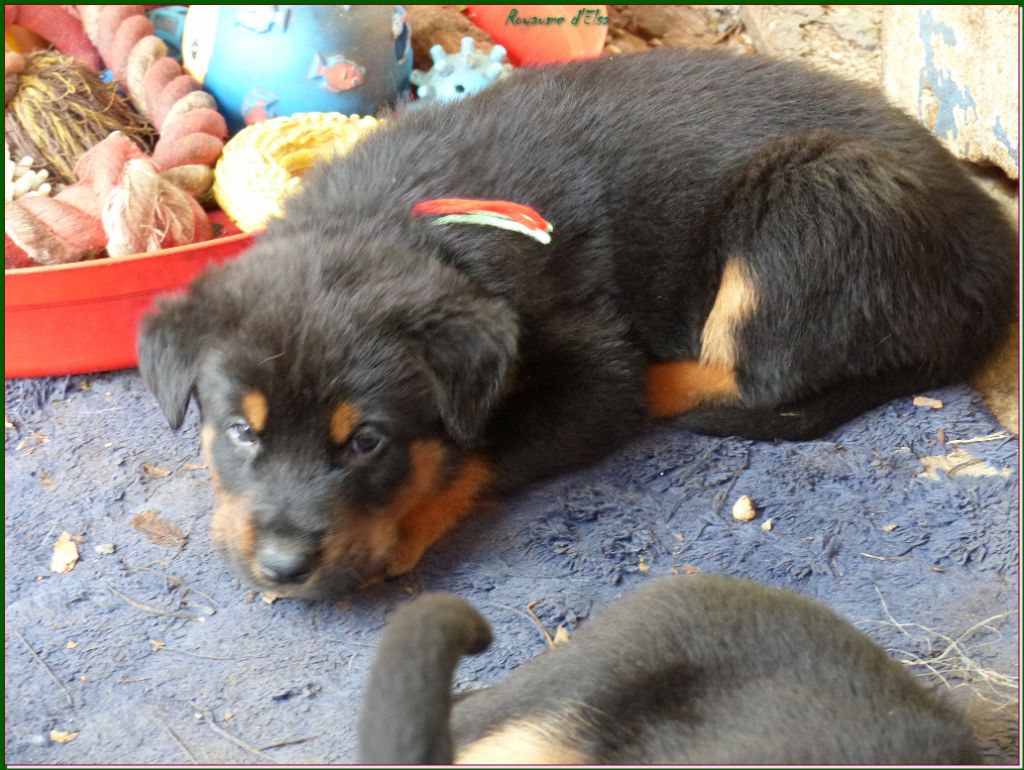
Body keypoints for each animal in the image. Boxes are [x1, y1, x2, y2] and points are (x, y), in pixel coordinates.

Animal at [138, 50, 1016, 598]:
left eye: (367, 444)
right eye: (240, 432)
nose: (283, 567)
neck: (399, 220)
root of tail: (989, 252)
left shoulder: (590, 366)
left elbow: (480, 451)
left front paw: (405, 527)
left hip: (809, 204)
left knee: (758, 371)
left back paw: (666, 382)